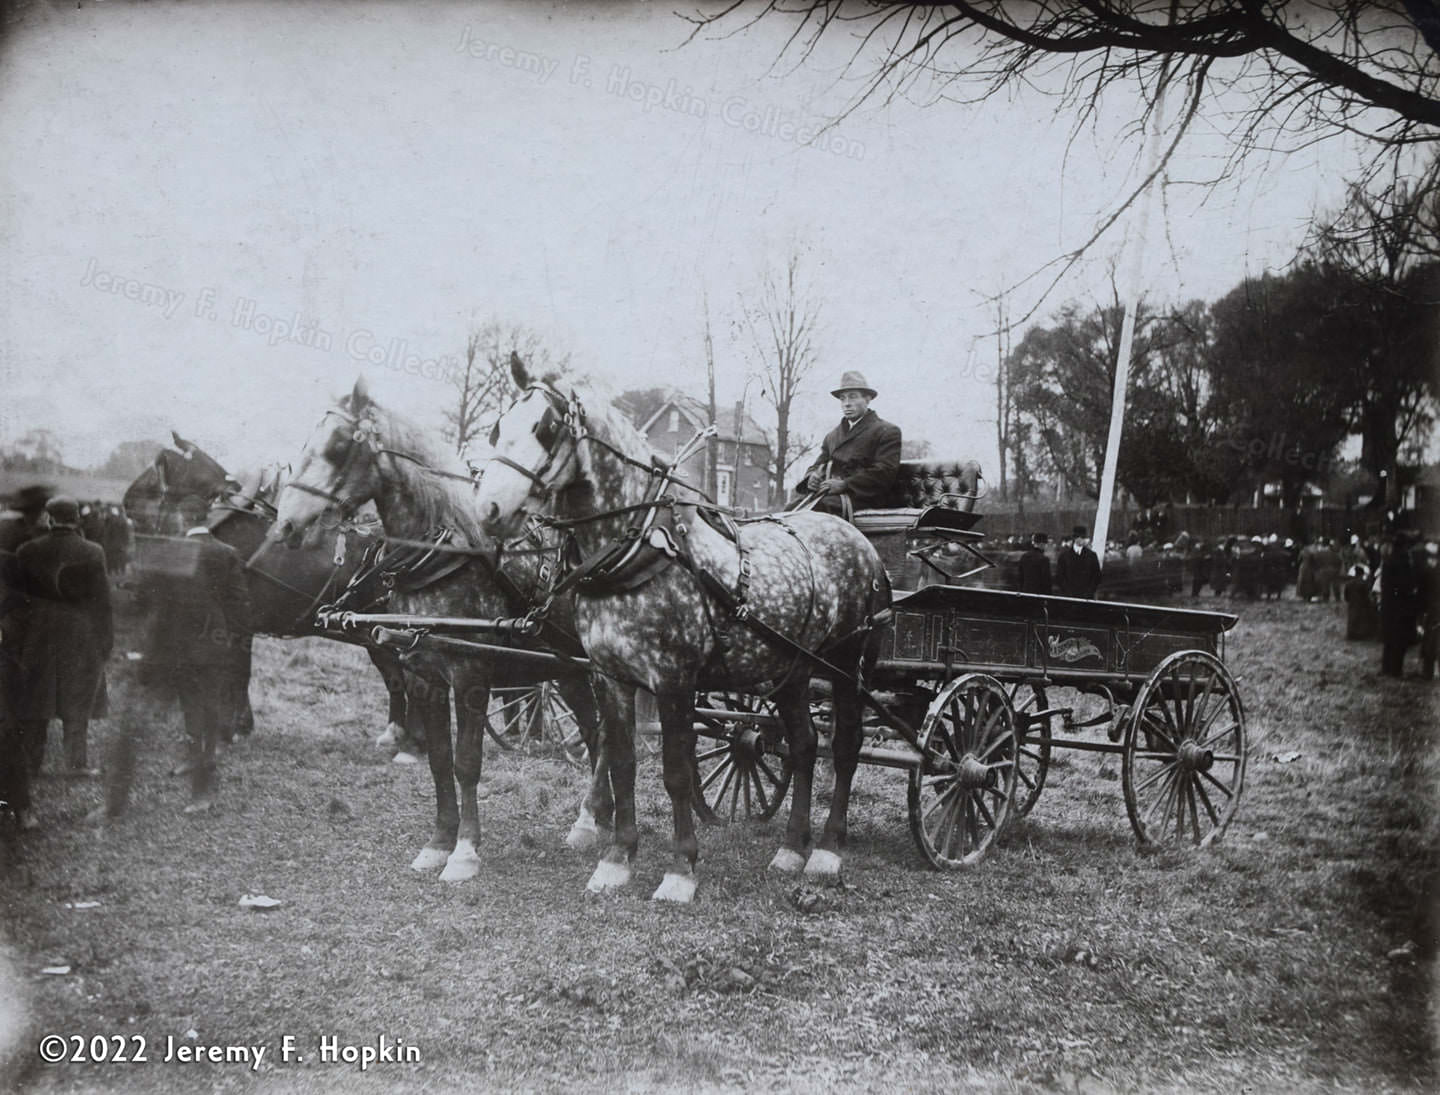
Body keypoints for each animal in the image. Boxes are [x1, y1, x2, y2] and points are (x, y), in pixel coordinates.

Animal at [472, 358, 887, 904]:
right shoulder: (611, 678)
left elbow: (675, 772)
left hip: (845, 664)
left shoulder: (673, 680)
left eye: (545, 427)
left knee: (845, 745)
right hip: (793, 669)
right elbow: (622, 762)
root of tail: (858, 539)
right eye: (498, 428)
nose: (487, 511)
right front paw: (615, 860)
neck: (641, 549)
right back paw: (791, 848)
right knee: (802, 744)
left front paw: (680, 869)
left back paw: (827, 849)